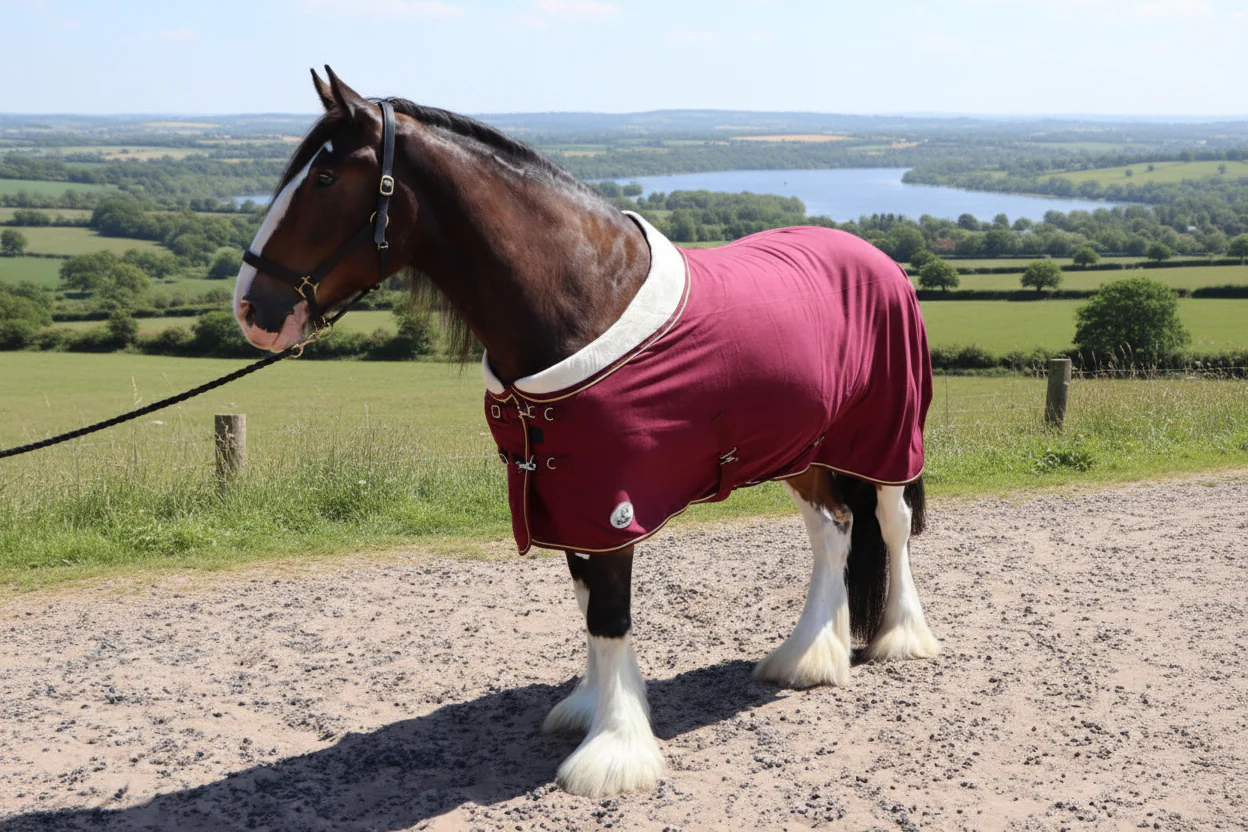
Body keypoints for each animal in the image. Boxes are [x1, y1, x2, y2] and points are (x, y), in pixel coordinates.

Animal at [233, 67, 941, 799]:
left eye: (323, 178)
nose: (252, 310)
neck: (585, 300)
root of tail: (877, 258)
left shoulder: (612, 501)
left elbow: (608, 612)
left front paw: (614, 752)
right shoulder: (563, 493)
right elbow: (586, 599)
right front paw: (591, 706)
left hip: (886, 436)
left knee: (889, 522)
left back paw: (901, 638)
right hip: (803, 452)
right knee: (835, 531)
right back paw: (807, 657)